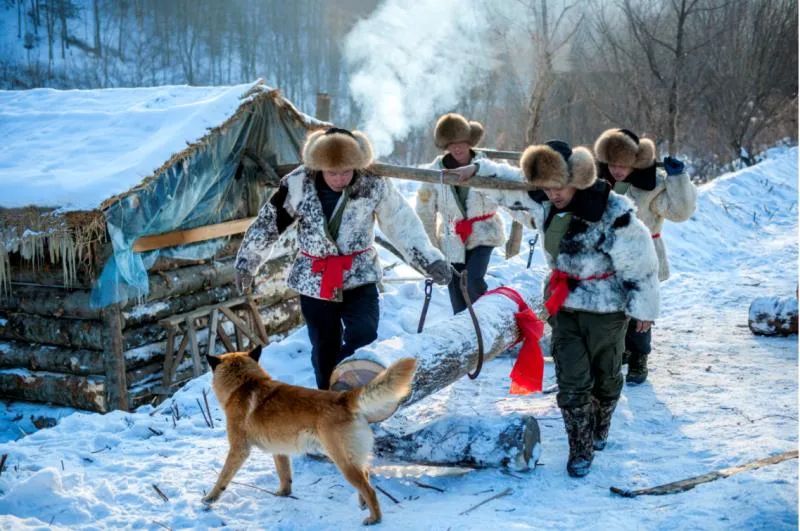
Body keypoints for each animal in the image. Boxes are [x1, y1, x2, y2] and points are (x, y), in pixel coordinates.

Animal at [203, 344, 416, 528]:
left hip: (342, 462)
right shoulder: (279, 451)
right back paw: (363, 505)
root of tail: (342, 398)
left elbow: (223, 477)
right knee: (366, 475)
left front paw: (210, 498)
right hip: (353, 457)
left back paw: (375, 518)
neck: (244, 384)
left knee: (369, 489)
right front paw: (283, 494)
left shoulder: (238, 449)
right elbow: (284, 475)